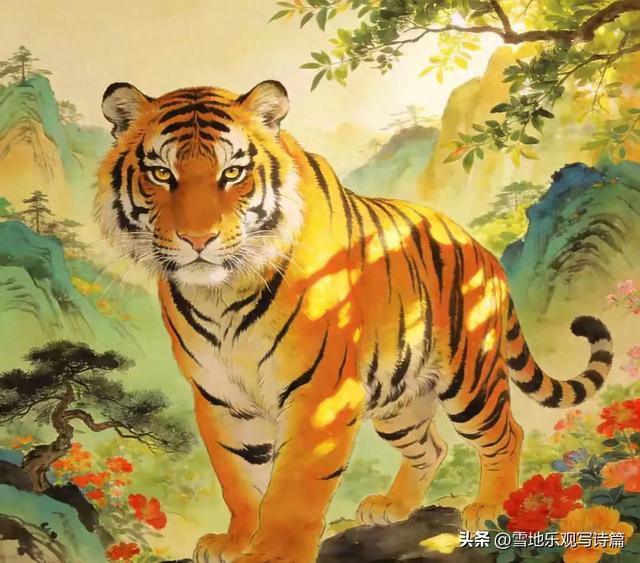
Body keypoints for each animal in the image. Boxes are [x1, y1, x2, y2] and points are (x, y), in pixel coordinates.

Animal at [96, 79, 613, 563]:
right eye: (162, 173)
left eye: (233, 173)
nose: (197, 240)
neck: (222, 294)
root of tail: (479, 247)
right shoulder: (221, 398)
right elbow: (238, 477)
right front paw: (237, 540)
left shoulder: (319, 395)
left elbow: (295, 485)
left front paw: (275, 551)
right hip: (399, 398)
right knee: (433, 447)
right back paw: (392, 507)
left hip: (471, 379)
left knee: (506, 434)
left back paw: (492, 509)